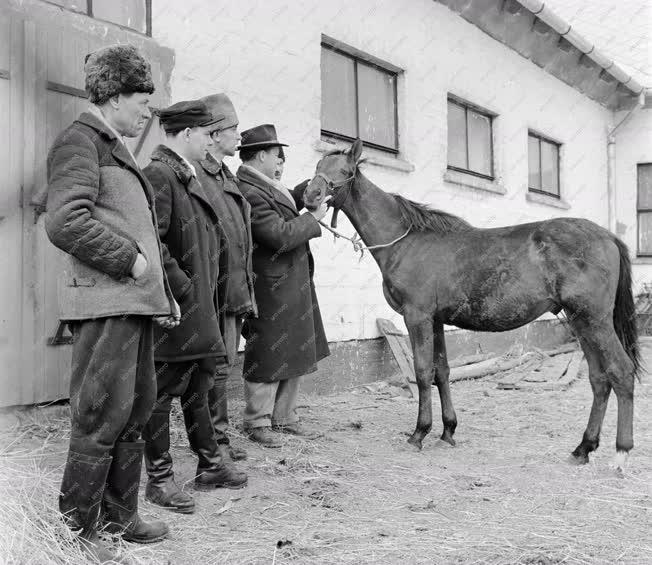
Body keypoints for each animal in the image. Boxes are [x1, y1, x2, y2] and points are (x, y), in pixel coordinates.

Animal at [306, 138, 640, 468]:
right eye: (318, 166)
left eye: (346, 171)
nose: (311, 196)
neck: (406, 241)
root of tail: (608, 236)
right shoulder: (436, 320)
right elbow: (441, 372)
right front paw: (448, 430)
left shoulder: (417, 317)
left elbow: (423, 372)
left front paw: (419, 433)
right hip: (581, 321)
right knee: (599, 379)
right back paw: (583, 448)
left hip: (595, 321)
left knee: (621, 372)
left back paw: (621, 452)